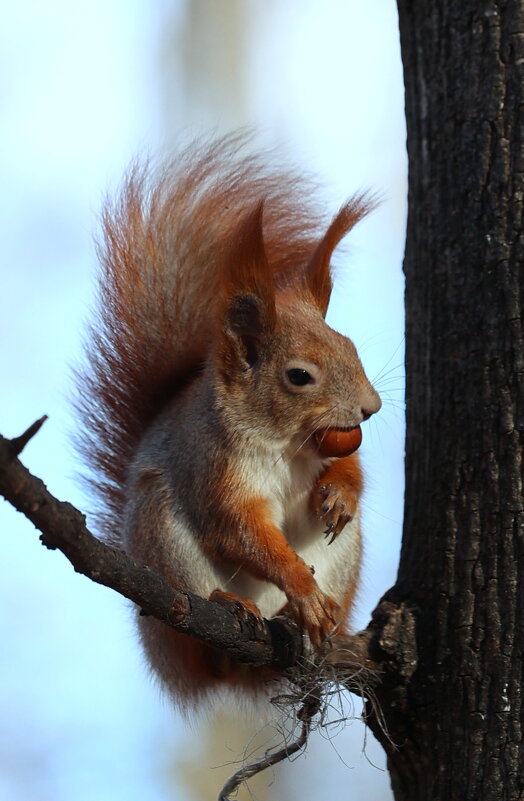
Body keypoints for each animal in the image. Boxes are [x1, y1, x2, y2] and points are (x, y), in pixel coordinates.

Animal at [77, 133, 380, 708]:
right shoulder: (216, 466)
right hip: (163, 534)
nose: (370, 407)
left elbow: (351, 469)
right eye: (299, 376)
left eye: (352, 346)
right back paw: (233, 607)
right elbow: (240, 528)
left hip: (343, 558)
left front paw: (339, 495)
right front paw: (299, 584)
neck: (288, 445)